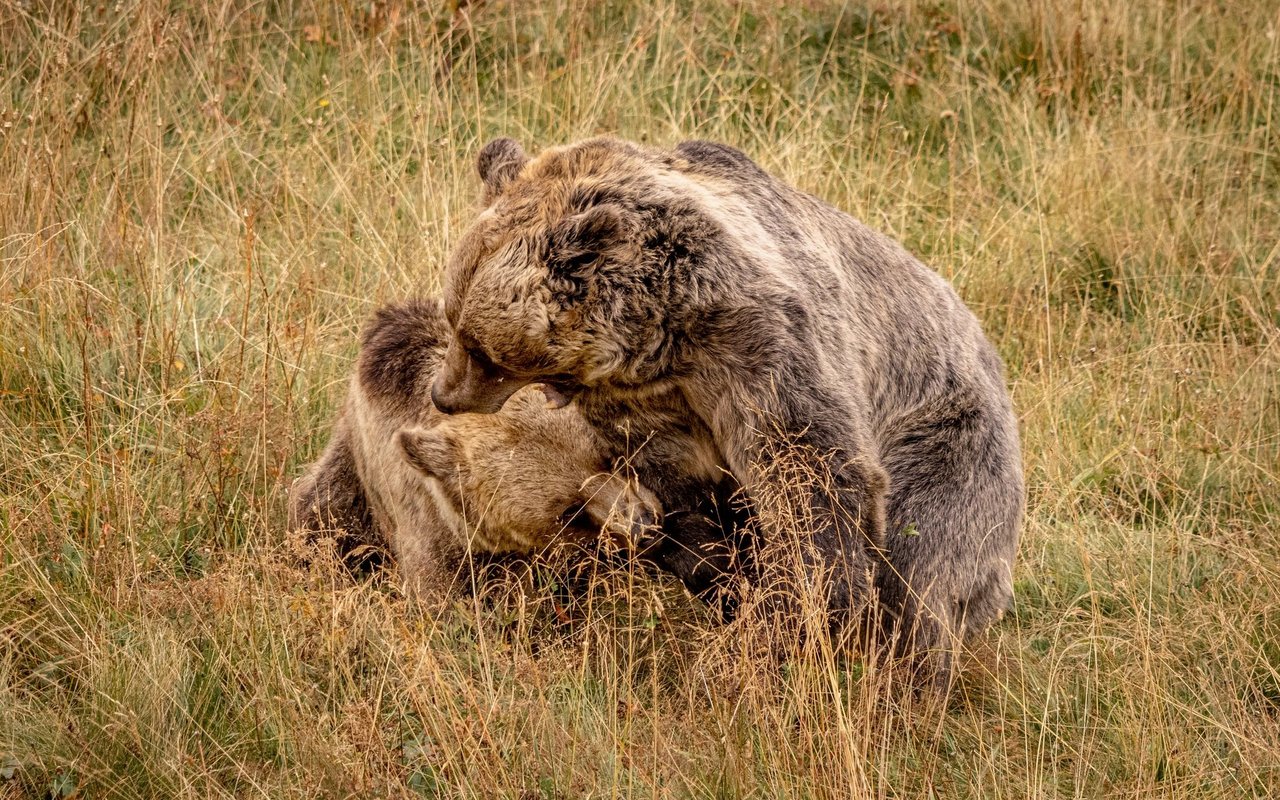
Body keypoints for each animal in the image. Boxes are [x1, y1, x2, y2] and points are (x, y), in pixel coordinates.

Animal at [288, 134, 1018, 680]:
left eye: (481, 347)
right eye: (453, 317)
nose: (444, 394)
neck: (661, 341)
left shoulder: (757, 344)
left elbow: (809, 470)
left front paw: (784, 629)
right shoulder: (638, 413)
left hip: (951, 443)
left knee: (923, 575)